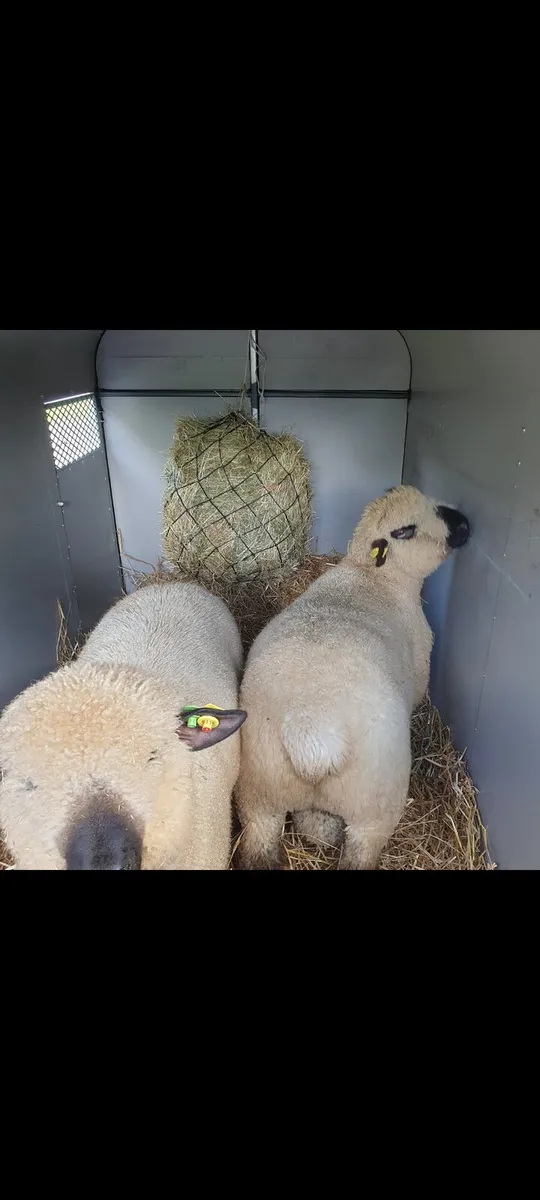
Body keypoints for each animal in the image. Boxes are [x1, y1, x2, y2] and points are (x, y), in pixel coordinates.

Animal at [235, 486, 470, 870]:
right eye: (408, 529)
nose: (465, 524)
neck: (371, 576)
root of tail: (312, 734)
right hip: (372, 807)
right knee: (360, 853)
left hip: (260, 794)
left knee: (259, 843)